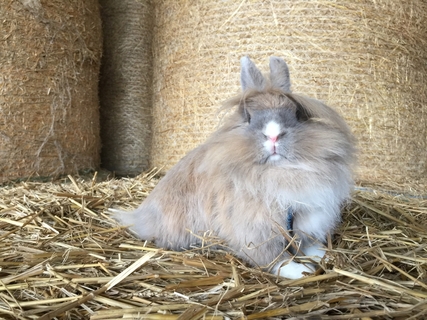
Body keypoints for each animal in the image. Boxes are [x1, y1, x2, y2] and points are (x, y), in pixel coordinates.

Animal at [114, 56, 358, 278]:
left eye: (296, 114)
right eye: (248, 117)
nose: (273, 136)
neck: (279, 173)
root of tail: (139, 217)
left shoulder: (307, 220)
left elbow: (309, 244)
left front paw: (323, 256)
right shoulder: (254, 232)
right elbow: (275, 259)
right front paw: (300, 271)